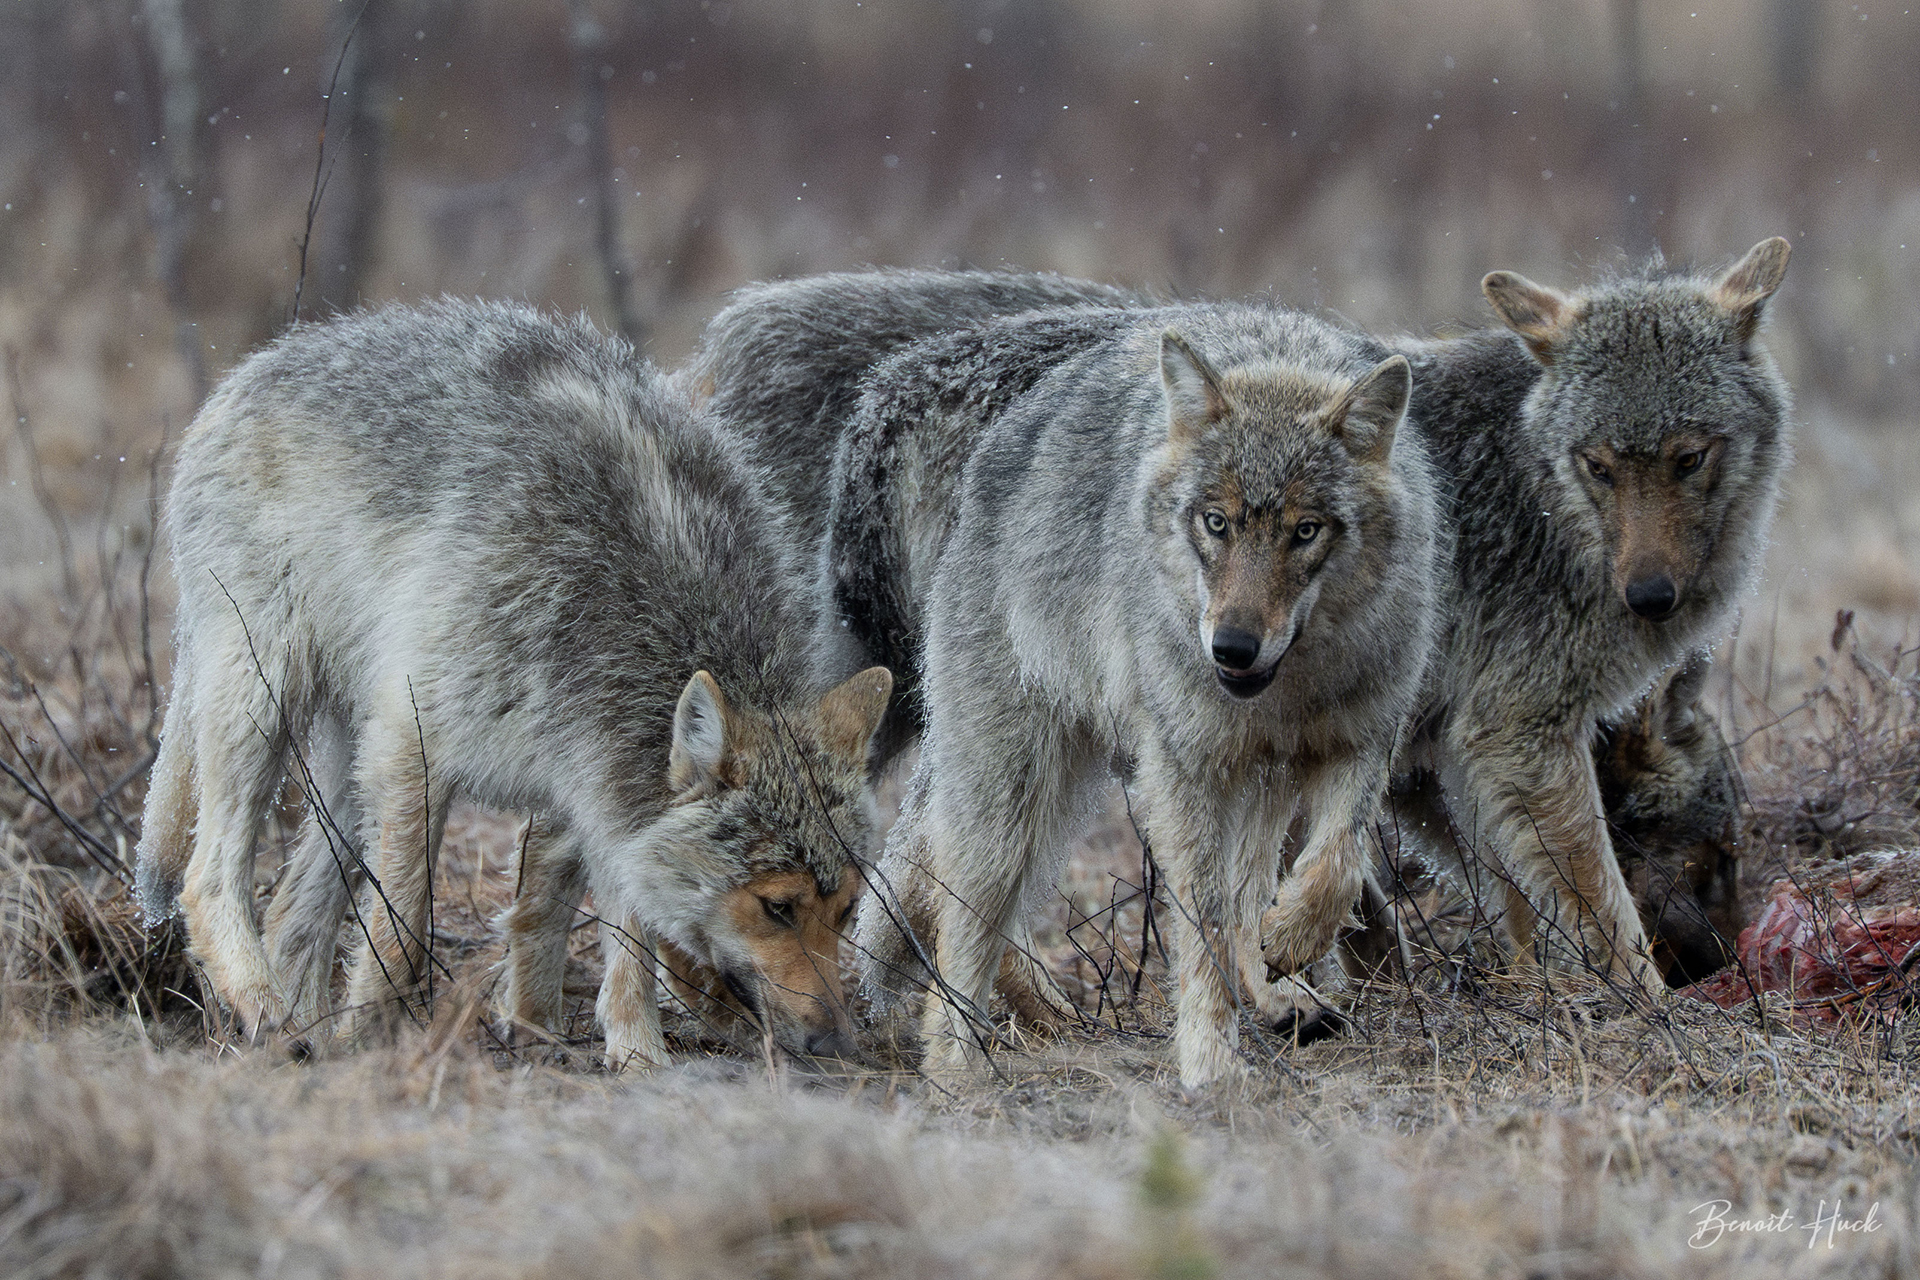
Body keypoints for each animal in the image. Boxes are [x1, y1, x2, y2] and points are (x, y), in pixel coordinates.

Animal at [134, 301, 893, 1067]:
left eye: (845, 911)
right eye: (777, 907)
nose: (837, 1043)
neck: (632, 609)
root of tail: (253, 368)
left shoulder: (592, 779)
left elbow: (604, 931)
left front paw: (626, 1053)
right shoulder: (416, 748)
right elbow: (405, 928)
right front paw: (378, 1045)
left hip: (348, 774)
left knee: (290, 910)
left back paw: (308, 1034)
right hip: (267, 706)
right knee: (207, 880)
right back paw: (269, 1015)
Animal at [858, 306, 1440, 1086]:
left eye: (1306, 531)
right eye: (1216, 522)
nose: (1231, 648)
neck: (1285, 692)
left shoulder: (1360, 740)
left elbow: (1333, 865)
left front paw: (1288, 941)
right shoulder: (1186, 768)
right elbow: (1205, 920)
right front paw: (1211, 1064)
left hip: (1256, 781)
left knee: (1253, 881)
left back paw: (1281, 997)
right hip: (1013, 804)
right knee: (956, 923)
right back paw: (958, 1066)